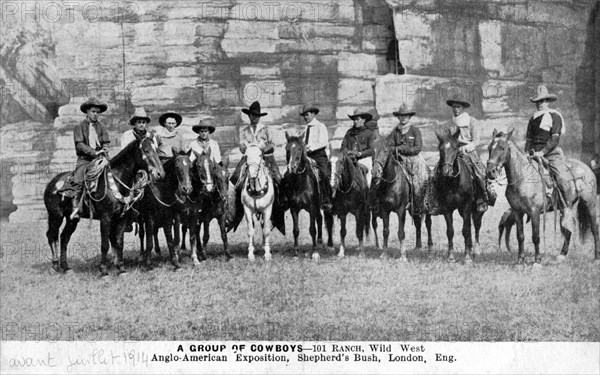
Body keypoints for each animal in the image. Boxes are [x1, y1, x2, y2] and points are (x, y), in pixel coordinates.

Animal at [42, 137, 165, 274]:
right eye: (146, 150)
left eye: (157, 149)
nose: (160, 173)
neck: (117, 182)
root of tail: (52, 183)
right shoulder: (105, 218)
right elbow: (105, 244)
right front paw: (103, 270)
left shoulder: (122, 218)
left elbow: (119, 242)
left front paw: (121, 268)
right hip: (55, 216)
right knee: (51, 235)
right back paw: (55, 265)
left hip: (71, 219)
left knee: (64, 238)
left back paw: (66, 267)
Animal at [282, 134, 332, 262]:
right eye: (287, 149)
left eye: (300, 149)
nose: (292, 167)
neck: (301, 184)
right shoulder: (294, 209)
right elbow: (296, 230)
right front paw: (295, 252)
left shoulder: (311, 208)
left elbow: (312, 229)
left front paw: (315, 252)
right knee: (320, 219)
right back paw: (319, 241)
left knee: (326, 221)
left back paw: (328, 245)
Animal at [436, 129, 488, 264]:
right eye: (440, 149)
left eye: (455, 148)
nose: (446, 171)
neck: (454, 182)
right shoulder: (446, 208)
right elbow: (450, 231)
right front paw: (450, 256)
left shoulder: (466, 206)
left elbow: (465, 230)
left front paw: (467, 257)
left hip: (477, 210)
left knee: (476, 226)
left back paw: (475, 250)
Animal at [486, 129, 596, 264]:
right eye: (489, 148)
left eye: (502, 148)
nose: (490, 171)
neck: (522, 178)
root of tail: (587, 169)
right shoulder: (517, 212)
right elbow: (520, 236)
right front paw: (520, 259)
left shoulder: (534, 212)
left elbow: (536, 237)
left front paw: (537, 260)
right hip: (565, 208)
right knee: (568, 227)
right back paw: (562, 254)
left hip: (590, 203)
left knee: (594, 228)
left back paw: (596, 257)